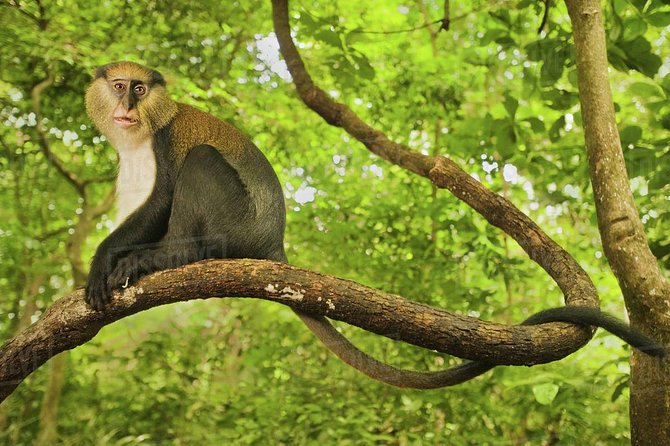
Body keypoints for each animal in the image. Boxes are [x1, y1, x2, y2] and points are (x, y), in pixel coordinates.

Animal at [84, 61, 665, 390]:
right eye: (120, 86)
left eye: (140, 88)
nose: (128, 103)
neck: (141, 133)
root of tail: (273, 241)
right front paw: (103, 265)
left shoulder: (162, 144)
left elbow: (161, 199)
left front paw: (122, 259)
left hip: (235, 220)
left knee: (202, 164)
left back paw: (172, 256)